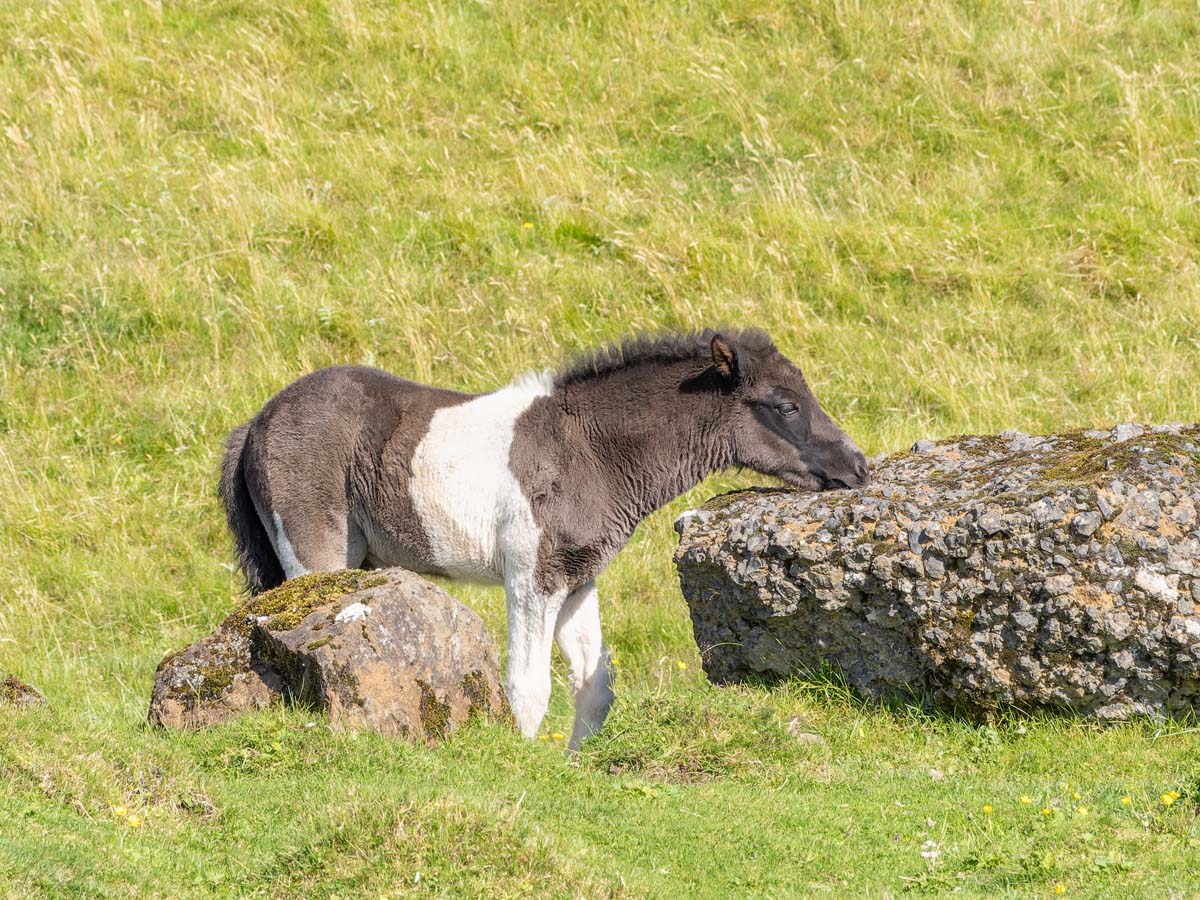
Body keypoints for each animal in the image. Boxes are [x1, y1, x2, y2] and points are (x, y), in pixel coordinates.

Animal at [218, 329, 868, 749]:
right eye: (784, 406)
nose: (857, 467)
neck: (591, 449)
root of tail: (255, 422)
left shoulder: (579, 578)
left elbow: (595, 685)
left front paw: (573, 762)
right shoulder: (532, 577)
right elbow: (528, 686)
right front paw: (525, 764)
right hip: (313, 553)